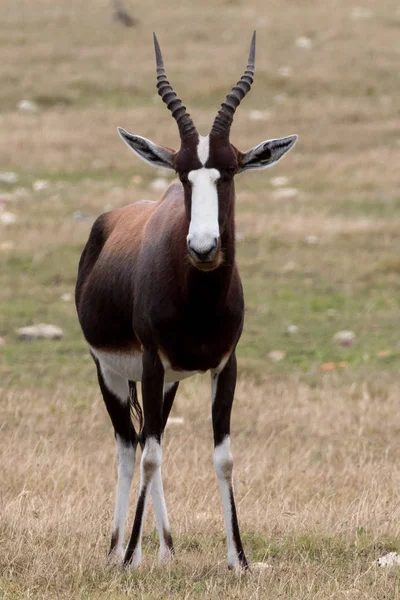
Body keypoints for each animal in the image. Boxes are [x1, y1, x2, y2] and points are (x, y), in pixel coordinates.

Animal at [76, 30, 296, 568]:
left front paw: (239, 560)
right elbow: (149, 454)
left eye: (230, 169)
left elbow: (223, 456)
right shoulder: (151, 362)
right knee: (130, 446)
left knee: (150, 438)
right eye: (180, 173)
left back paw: (166, 550)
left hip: (170, 381)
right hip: (111, 373)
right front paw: (129, 558)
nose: (203, 248)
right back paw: (119, 551)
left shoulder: (224, 365)